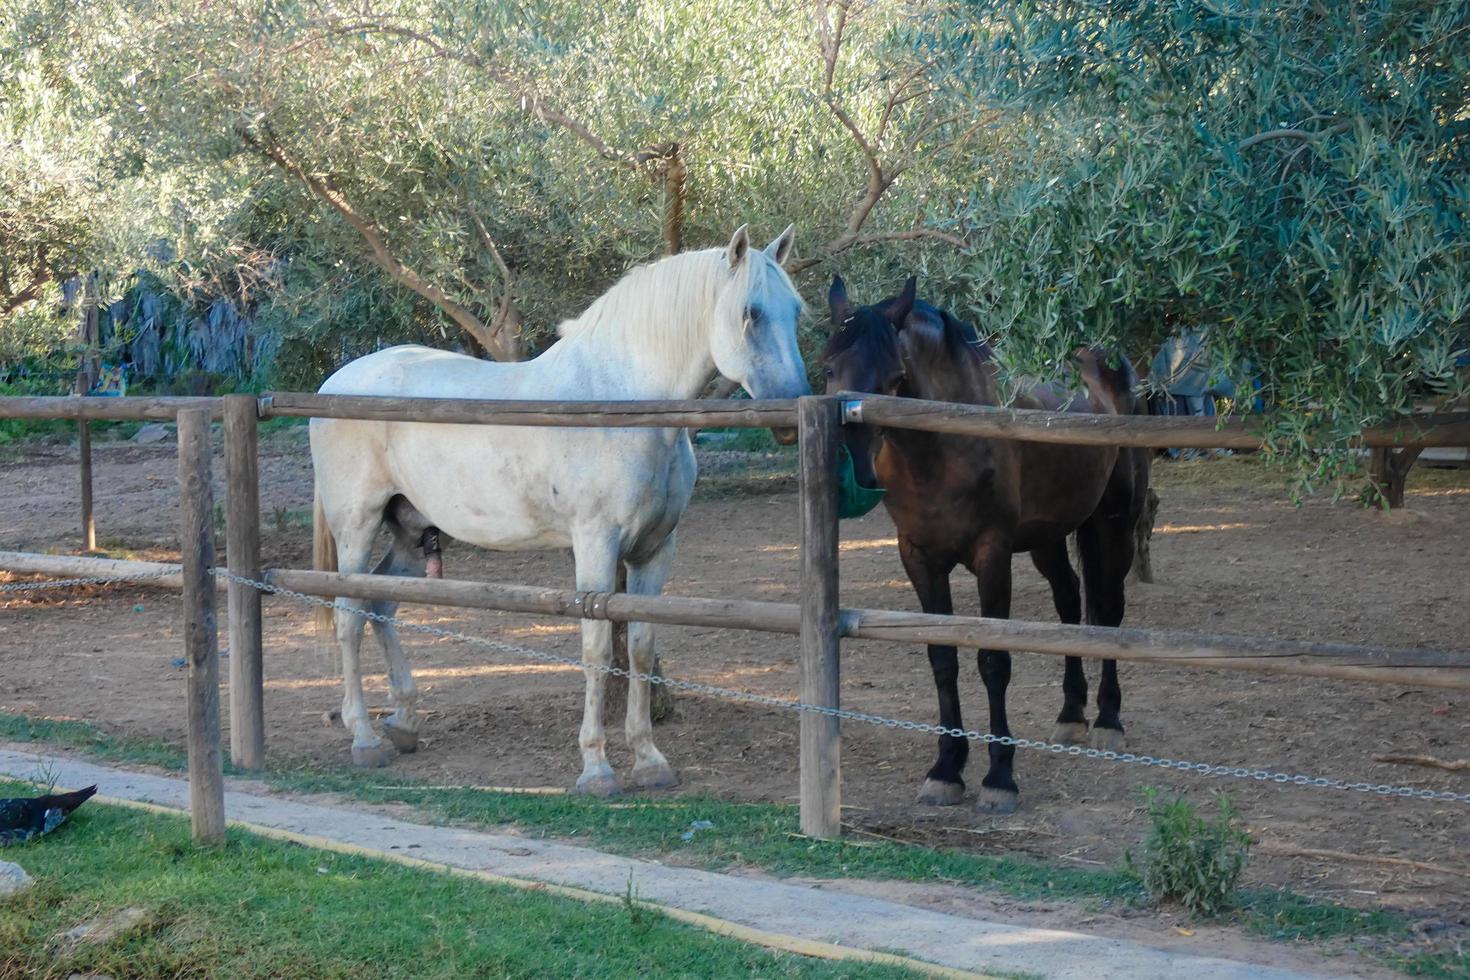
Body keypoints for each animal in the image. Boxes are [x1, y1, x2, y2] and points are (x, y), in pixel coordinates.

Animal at [308, 224, 805, 799]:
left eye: (795, 309)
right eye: (751, 312)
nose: (791, 411)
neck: (619, 405)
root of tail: (333, 384)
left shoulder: (655, 550)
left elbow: (640, 646)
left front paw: (650, 760)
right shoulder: (595, 544)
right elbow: (598, 651)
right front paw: (597, 769)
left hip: (412, 531)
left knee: (381, 606)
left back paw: (405, 723)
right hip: (357, 526)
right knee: (350, 617)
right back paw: (365, 739)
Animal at [823, 276, 1152, 811]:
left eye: (895, 377)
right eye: (829, 367)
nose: (853, 467)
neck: (943, 444)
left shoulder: (992, 555)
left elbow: (993, 661)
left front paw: (1000, 775)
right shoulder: (919, 557)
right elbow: (942, 659)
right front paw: (946, 769)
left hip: (1114, 524)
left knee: (1107, 610)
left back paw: (1107, 720)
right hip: (1047, 538)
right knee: (1068, 603)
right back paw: (1071, 714)